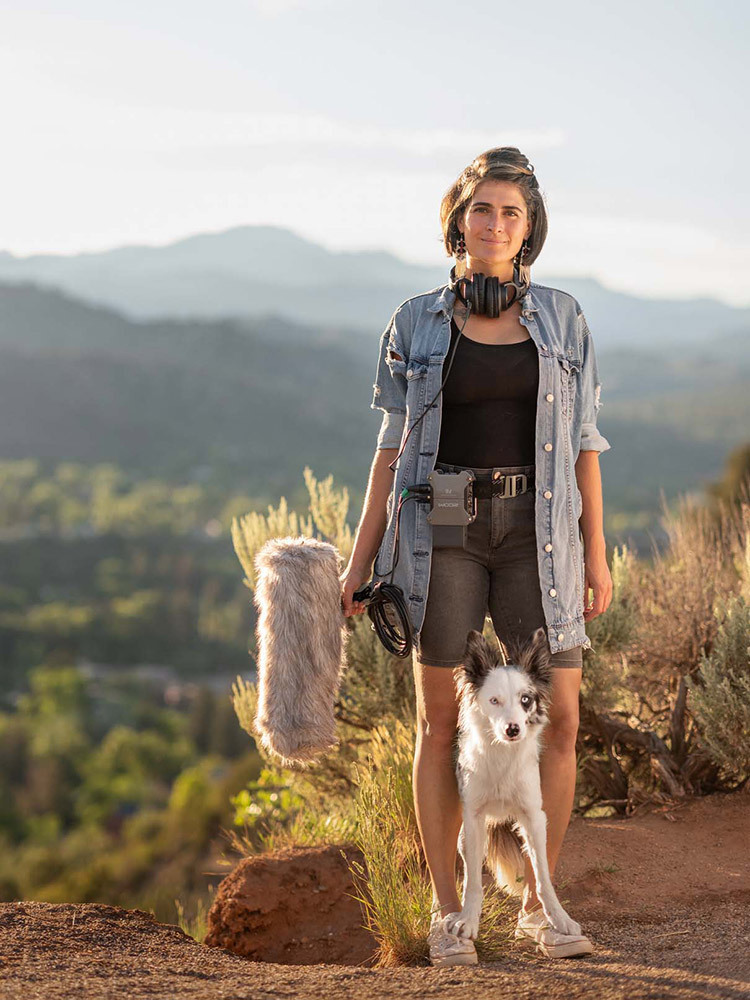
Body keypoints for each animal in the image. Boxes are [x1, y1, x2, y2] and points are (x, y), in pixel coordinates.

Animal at [444, 628, 584, 940]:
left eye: (526, 700)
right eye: (494, 700)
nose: (513, 729)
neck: (502, 755)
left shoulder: (533, 816)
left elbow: (542, 876)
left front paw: (558, 918)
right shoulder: (473, 818)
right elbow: (473, 882)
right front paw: (468, 920)